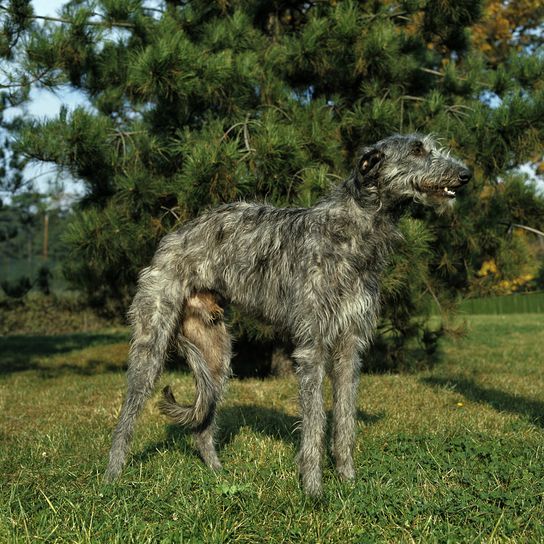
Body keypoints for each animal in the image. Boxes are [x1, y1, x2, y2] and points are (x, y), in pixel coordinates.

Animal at [104, 133, 470, 498]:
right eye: (417, 150)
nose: (466, 174)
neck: (354, 230)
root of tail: (171, 238)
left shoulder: (350, 344)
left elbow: (345, 418)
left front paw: (348, 480)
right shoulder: (312, 346)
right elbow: (314, 422)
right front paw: (313, 490)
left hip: (216, 354)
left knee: (203, 422)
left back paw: (218, 474)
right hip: (152, 342)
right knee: (128, 414)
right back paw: (112, 477)